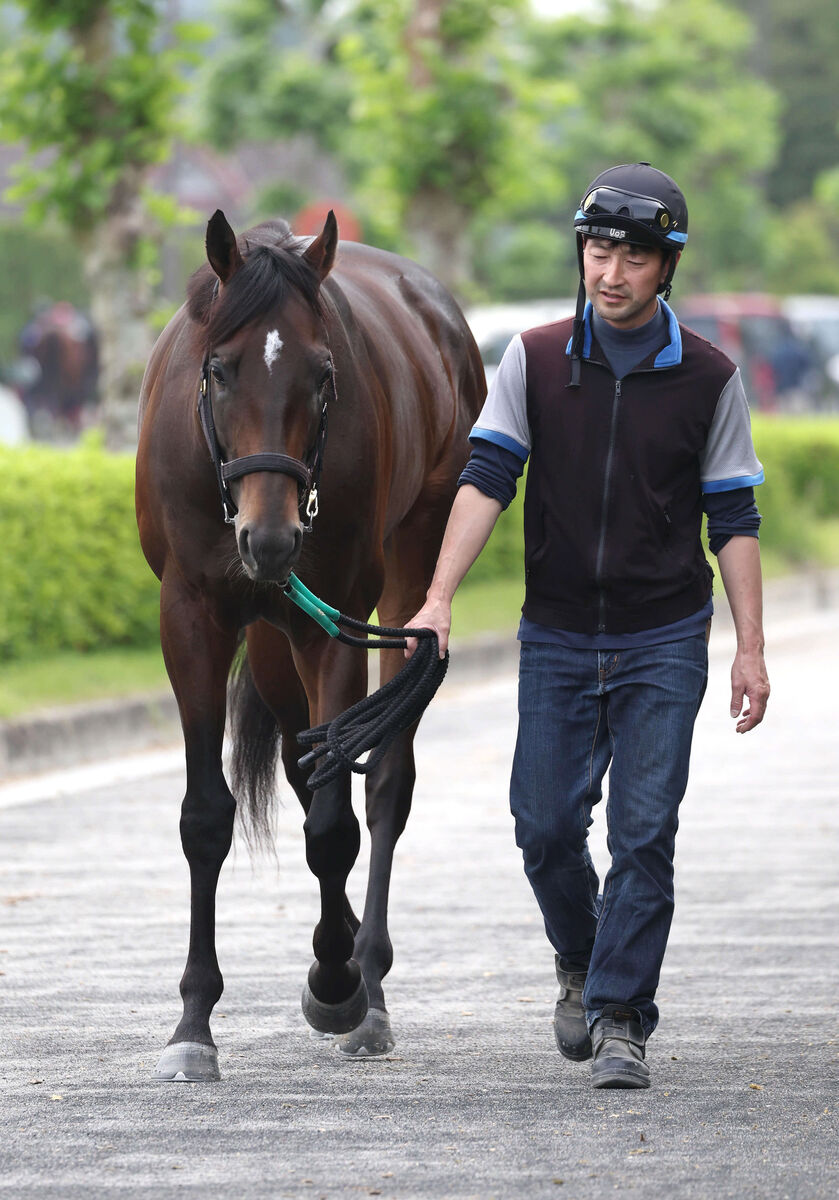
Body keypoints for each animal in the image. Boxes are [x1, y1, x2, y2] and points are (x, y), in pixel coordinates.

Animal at [136, 206, 484, 1080]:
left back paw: (369, 980)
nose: (270, 538)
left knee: (383, 778)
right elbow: (205, 817)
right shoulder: (190, 615)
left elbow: (333, 825)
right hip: (271, 635)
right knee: (303, 762)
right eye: (219, 369)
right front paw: (193, 1023)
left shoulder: (336, 620)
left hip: (408, 569)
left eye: (324, 375)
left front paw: (338, 980)